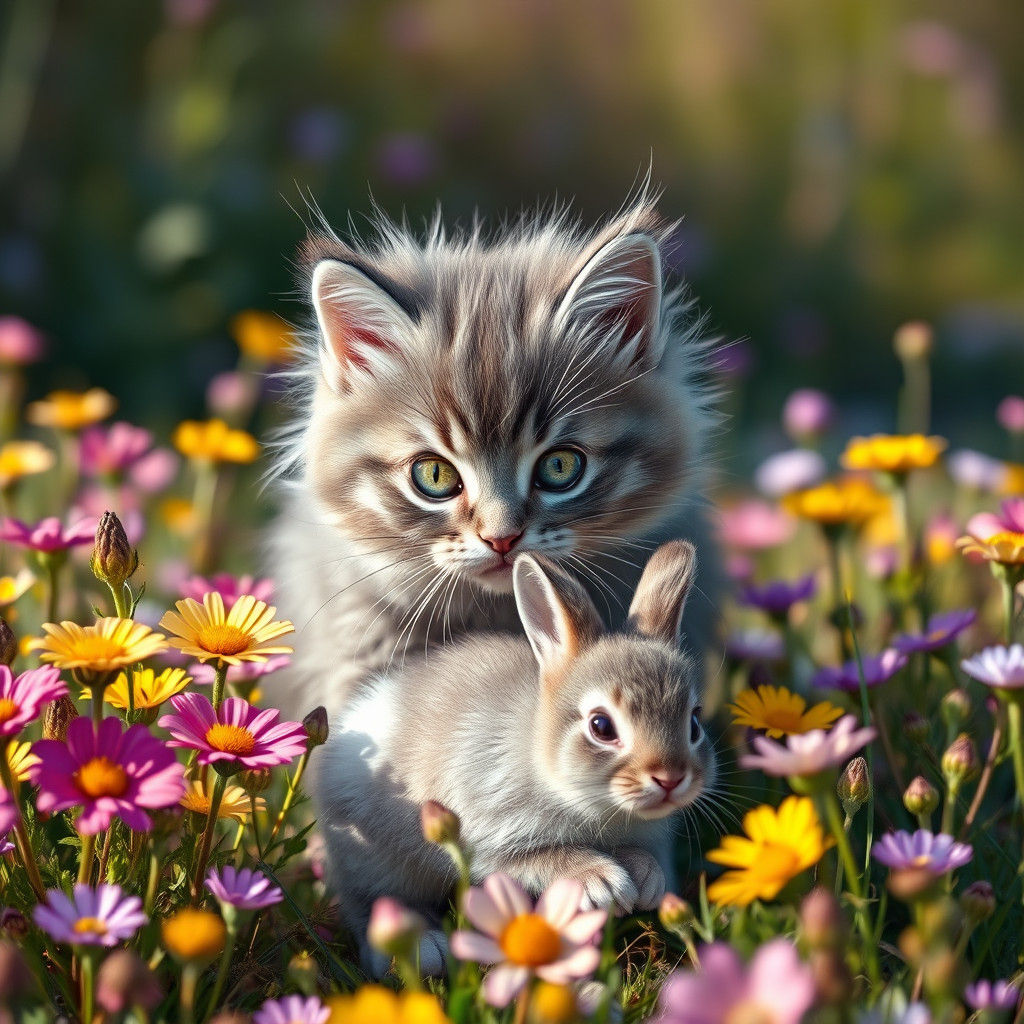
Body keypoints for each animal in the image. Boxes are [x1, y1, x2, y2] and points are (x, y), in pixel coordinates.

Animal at [314, 539, 716, 977]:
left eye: (694, 722)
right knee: (370, 903)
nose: (670, 778)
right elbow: (538, 858)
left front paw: (647, 881)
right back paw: (425, 949)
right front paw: (603, 882)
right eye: (601, 726)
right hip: (372, 859)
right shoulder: (490, 832)